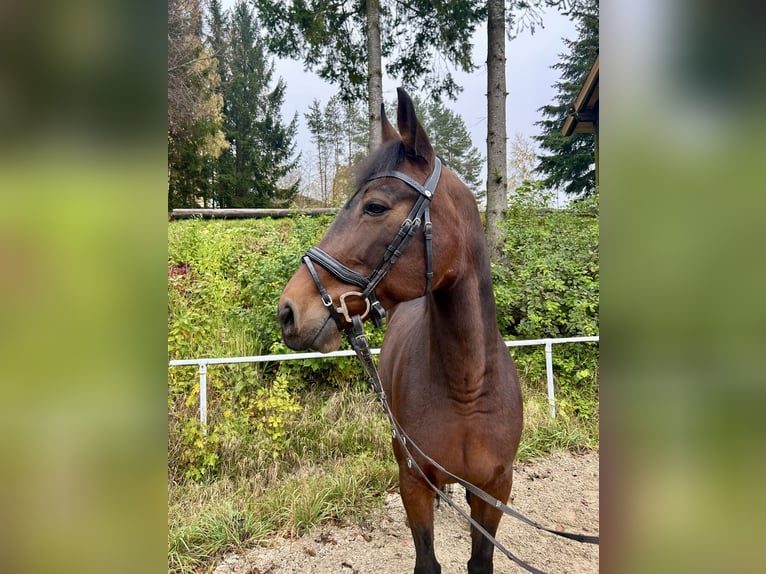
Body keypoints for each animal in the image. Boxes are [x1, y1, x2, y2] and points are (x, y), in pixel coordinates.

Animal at [280, 89, 524, 574]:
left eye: (375, 206)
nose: (288, 311)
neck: (468, 387)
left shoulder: (495, 493)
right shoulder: (412, 481)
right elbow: (426, 559)